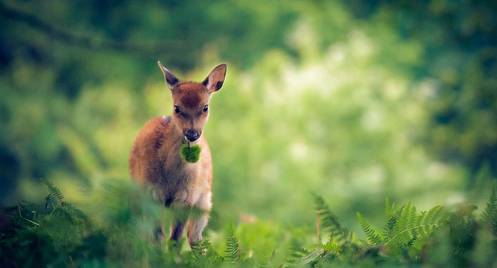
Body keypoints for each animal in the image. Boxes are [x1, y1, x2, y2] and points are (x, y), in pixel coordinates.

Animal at [129, 61, 228, 245]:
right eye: (177, 107)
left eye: (205, 107)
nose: (192, 133)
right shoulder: (152, 193)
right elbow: (158, 237)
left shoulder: (187, 197)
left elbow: (175, 238)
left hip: (204, 201)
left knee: (194, 237)